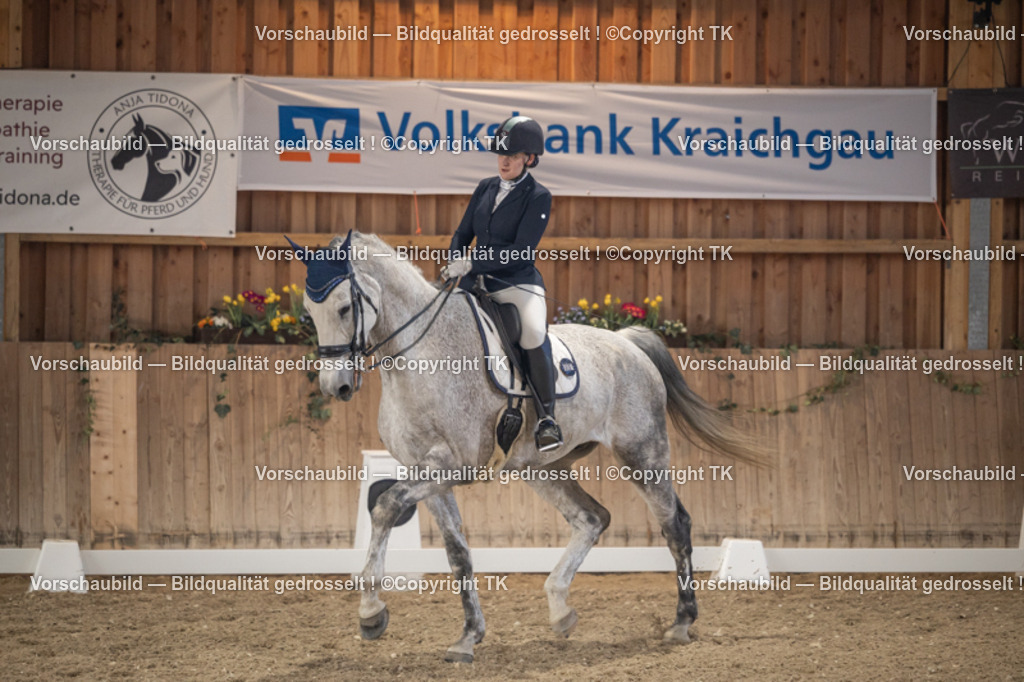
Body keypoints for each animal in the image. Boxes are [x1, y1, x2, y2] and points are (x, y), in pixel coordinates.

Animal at [288, 231, 762, 663]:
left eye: (344, 307)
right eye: (310, 310)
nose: (335, 387)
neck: (421, 353)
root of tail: (627, 342)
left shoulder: (449, 465)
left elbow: (385, 506)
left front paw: (371, 612)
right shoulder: (427, 472)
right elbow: (457, 552)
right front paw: (468, 636)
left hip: (641, 455)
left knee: (674, 524)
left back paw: (681, 622)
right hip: (540, 468)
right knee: (592, 518)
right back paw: (559, 608)